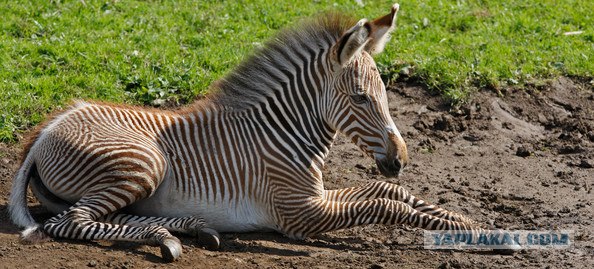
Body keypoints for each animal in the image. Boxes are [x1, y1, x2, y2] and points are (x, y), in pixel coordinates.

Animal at [8, 3, 512, 260]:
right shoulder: (300, 213)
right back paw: (169, 238)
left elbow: (394, 195)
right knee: (70, 223)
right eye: (361, 99)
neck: (283, 134)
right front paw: (485, 236)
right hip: (143, 162)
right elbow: (385, 206)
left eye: (386, 95)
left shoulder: (315, 196)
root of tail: (48, 127)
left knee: (106, 217)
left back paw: (189, 229)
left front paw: (479, 228)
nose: (401, 160)